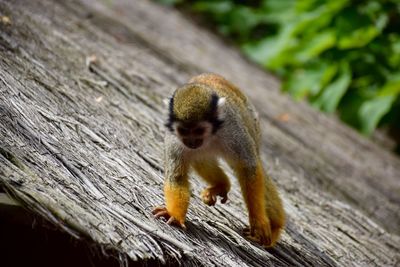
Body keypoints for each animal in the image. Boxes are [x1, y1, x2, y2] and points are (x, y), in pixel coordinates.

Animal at [152, 73, 286, 247]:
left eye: (199, 130)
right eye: (183, 131)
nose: (191, 141)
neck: (209, 136)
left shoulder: (232, 129)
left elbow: (249, 168)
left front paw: (257, 222)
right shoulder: (174, 139)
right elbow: (177, 177)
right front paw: (174, 214)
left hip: (253, 123)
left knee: (255, 166)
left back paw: (275, 227)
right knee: (200, 159)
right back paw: (221, 185)